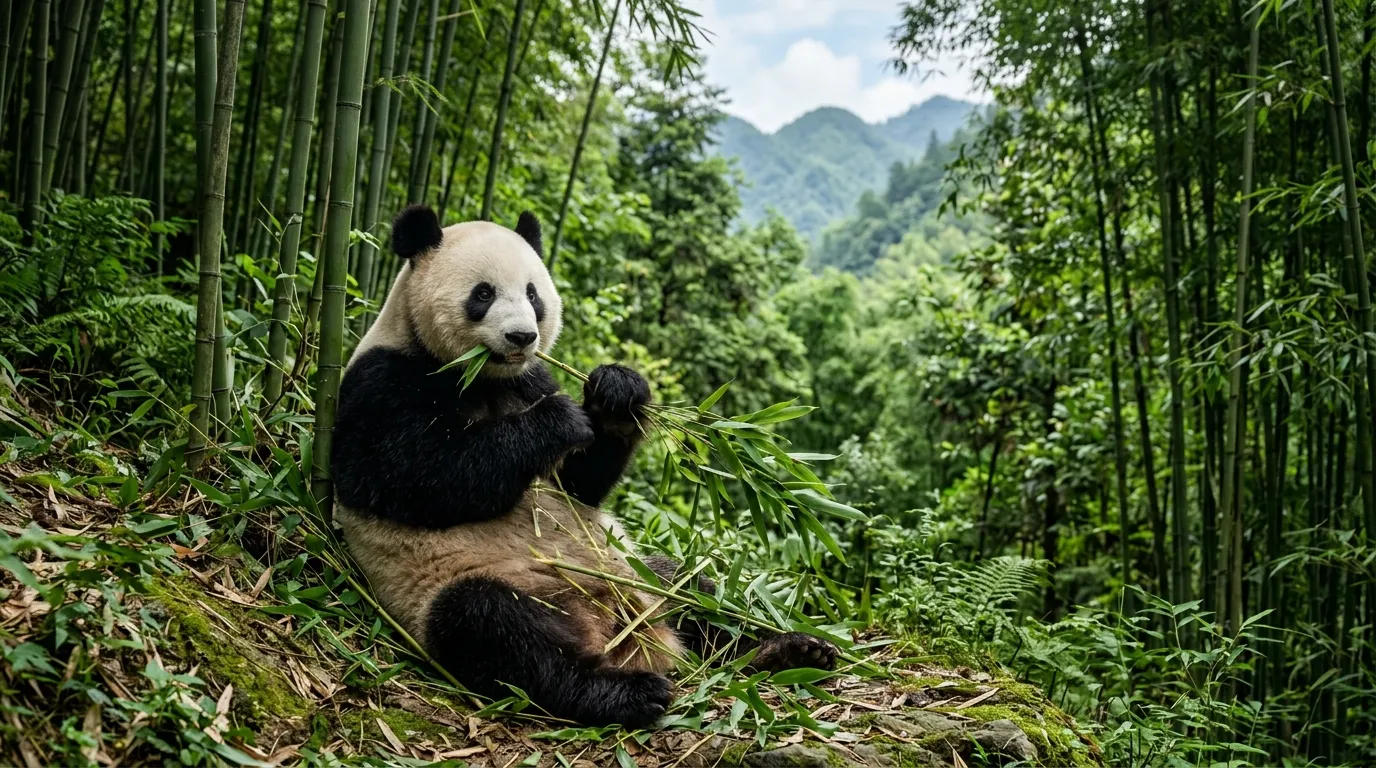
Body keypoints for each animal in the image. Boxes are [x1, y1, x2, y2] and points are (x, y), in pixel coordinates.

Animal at [330, 205, 837, 728]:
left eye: (533, 294)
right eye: (483, 294)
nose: (522, 336)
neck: (483, 376)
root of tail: (618, 630)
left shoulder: (531, 377)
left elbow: (576, 486)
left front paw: (617, 392)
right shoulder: (383, 381)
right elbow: (413, 477)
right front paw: (558, 421)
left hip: (636, 571)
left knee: (694, 591)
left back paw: (785, 650)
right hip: (467, 588)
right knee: (498, 632)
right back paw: (627, 692)